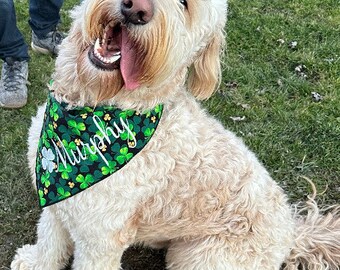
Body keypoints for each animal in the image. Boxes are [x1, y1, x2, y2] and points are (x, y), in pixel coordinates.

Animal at [10, 0, 340, 268]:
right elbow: (50, 242)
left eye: (185, 4)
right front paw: (35, 263)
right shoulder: (55, 200)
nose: (137, 9)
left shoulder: (99, 240)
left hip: (201, 256)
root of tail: (292, 232)